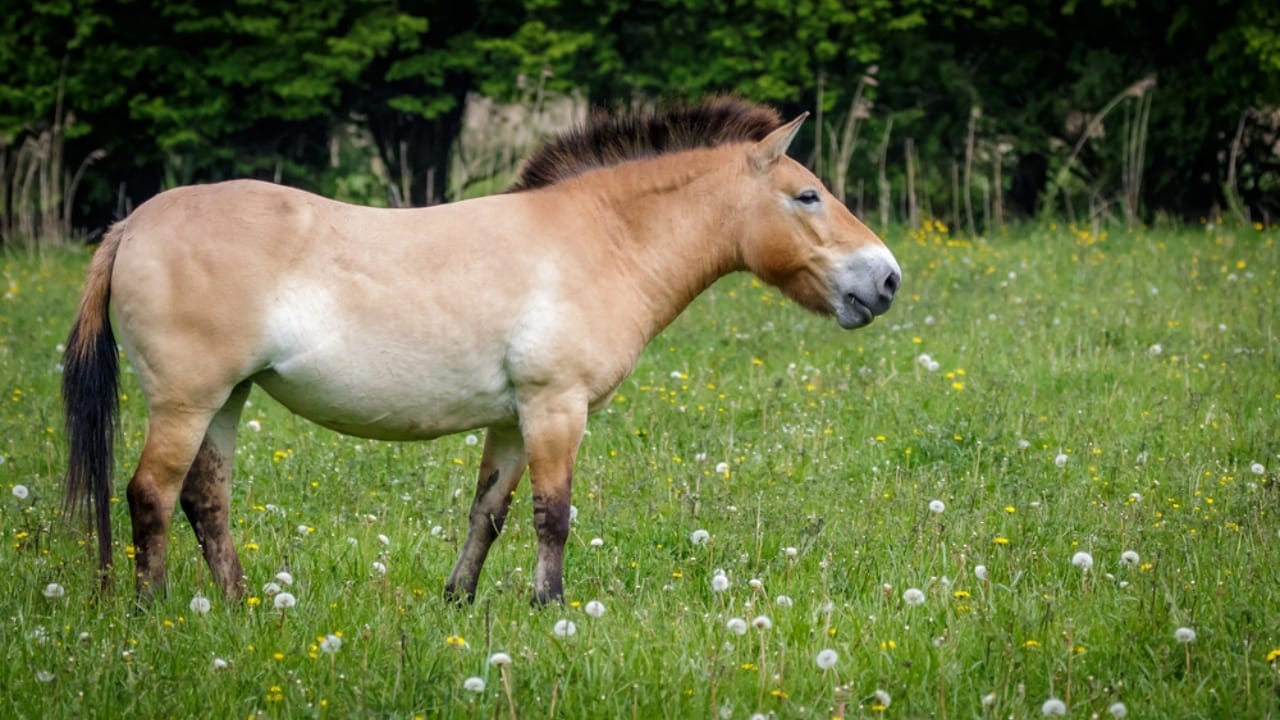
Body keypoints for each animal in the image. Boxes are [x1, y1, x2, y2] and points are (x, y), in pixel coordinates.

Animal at [62, 97, 900, 605]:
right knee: (151, 494)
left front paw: (458, 600)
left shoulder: (511, 420)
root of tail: (134, 223)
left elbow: (488, 514)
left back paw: (239, 607)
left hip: (227, 400)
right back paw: (153, 612)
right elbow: (553, 514)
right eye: (808, 195)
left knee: (206, 500)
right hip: (186, 400)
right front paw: (551, 606)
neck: (601, 239)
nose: (887, 278)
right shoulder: (555, 408)